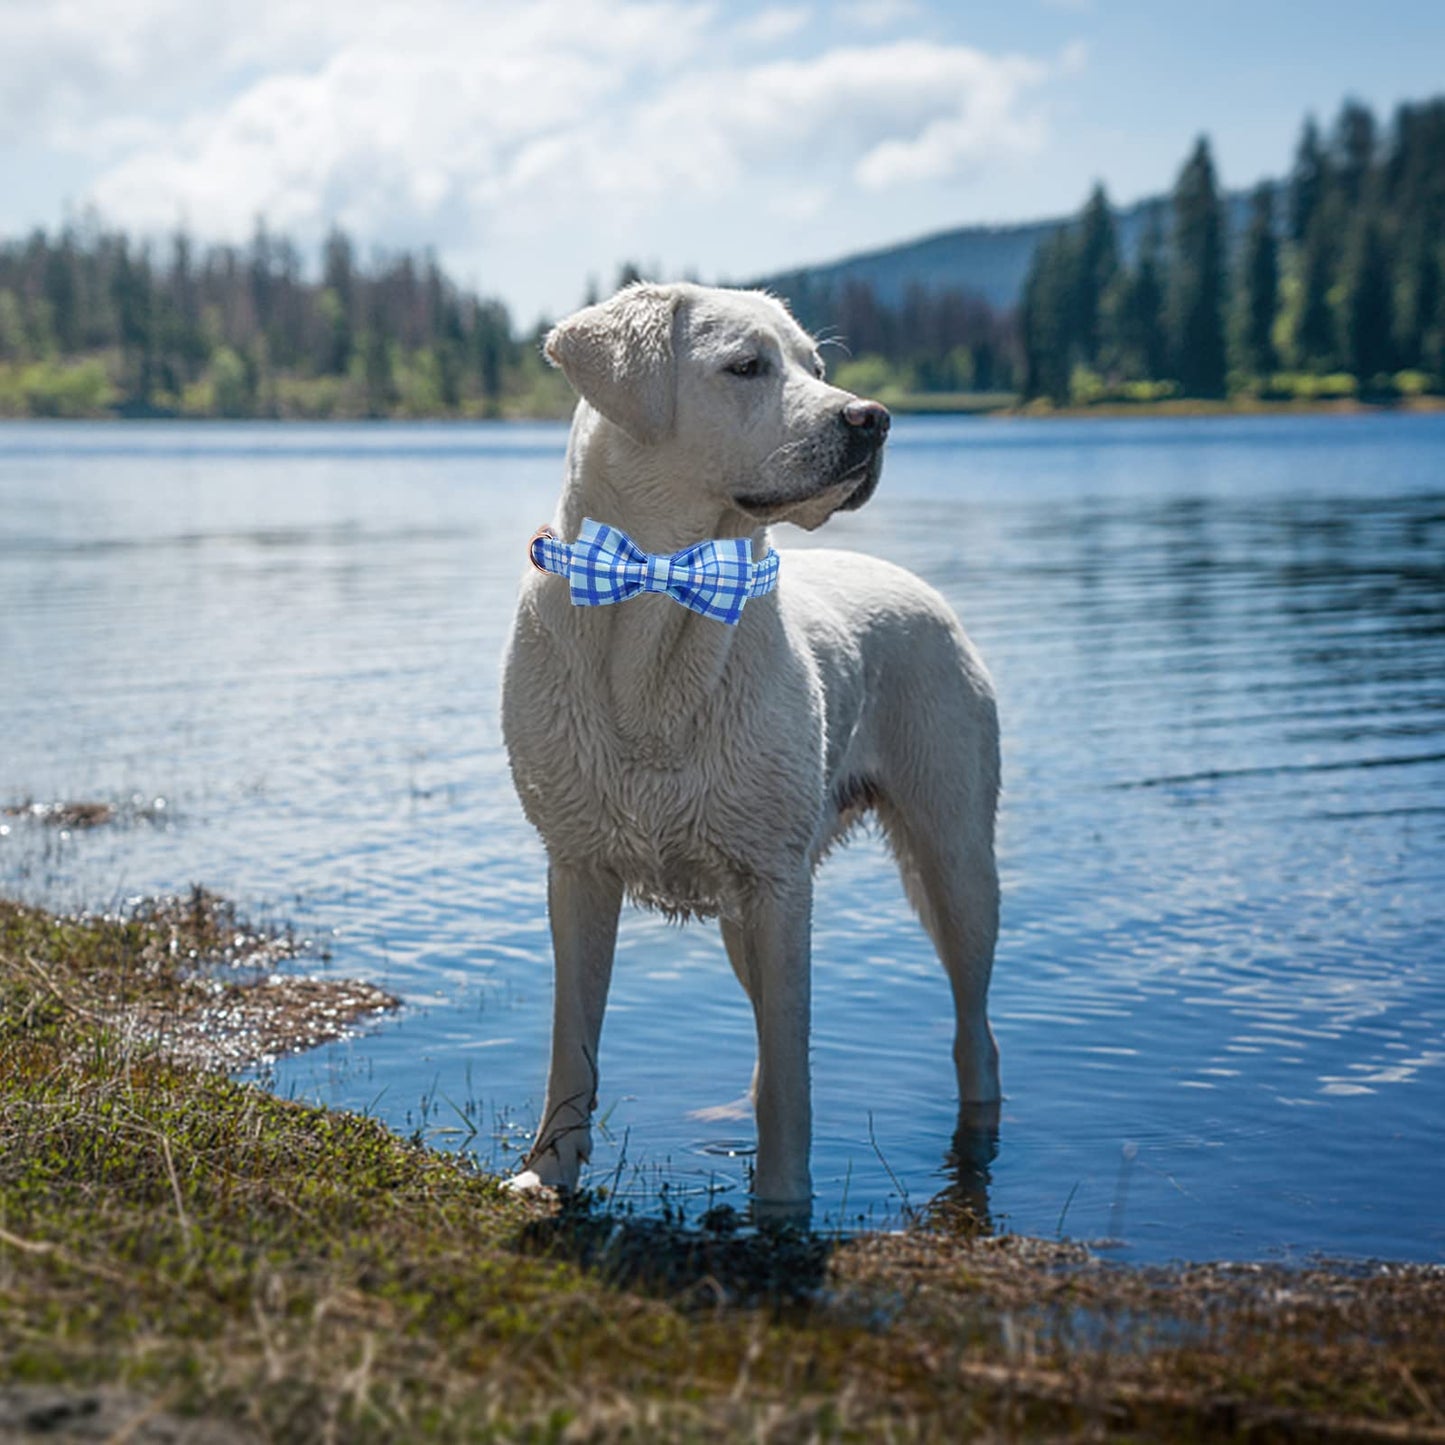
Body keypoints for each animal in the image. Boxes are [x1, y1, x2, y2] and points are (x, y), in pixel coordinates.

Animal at [502, 278, 999, 1208]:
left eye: (818, 368)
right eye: (745, 367)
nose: (873, 418)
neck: (666, 592)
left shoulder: (777, 885)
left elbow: (792, 1073)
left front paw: (782, 1201)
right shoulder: (577, 868)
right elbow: (571, 1044)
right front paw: (547, 1172)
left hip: (953, 859)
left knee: (971, 1030)